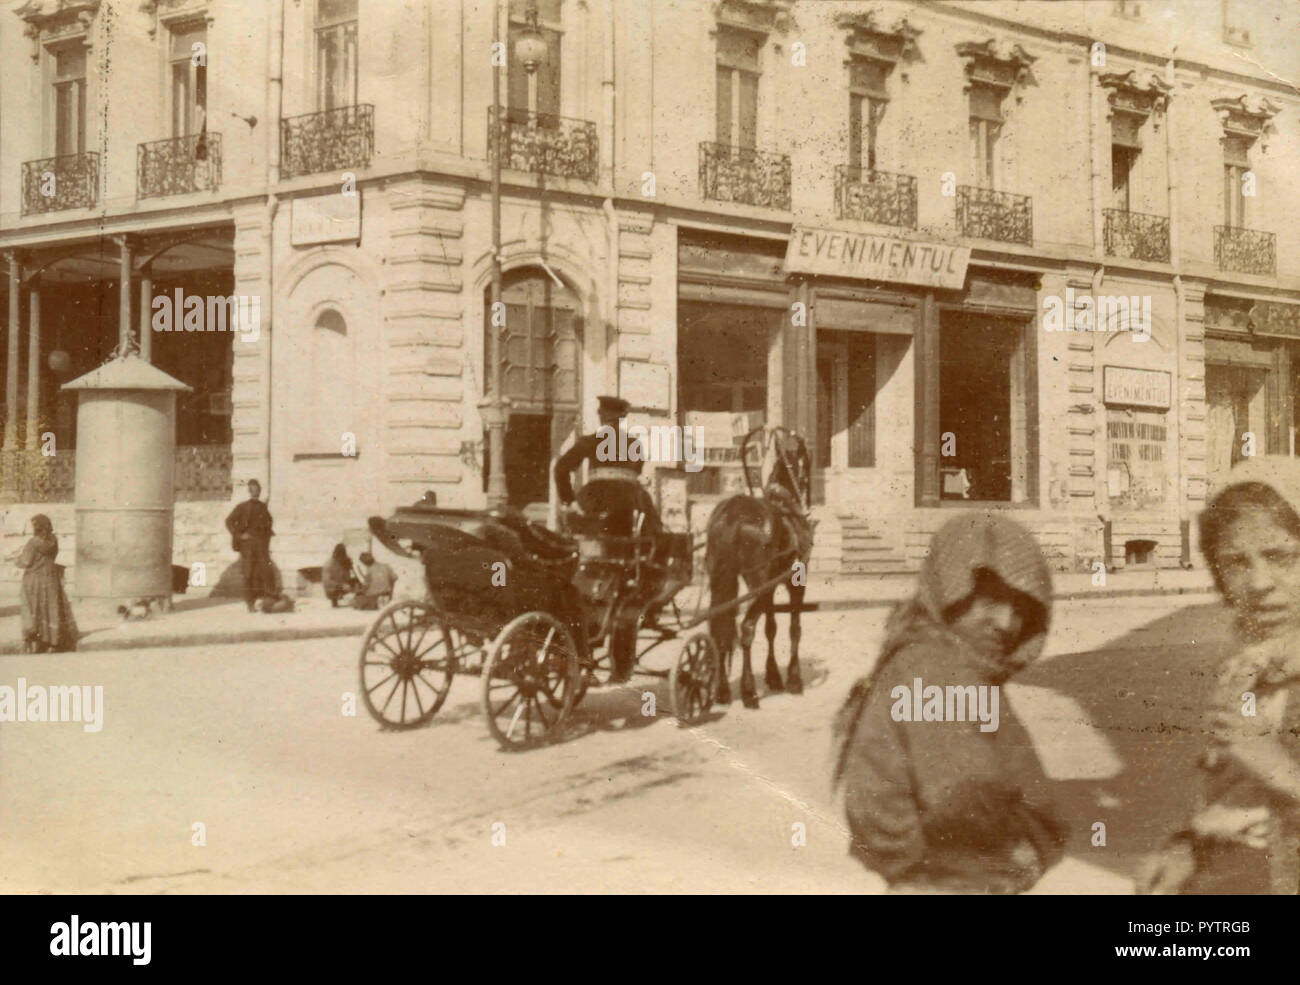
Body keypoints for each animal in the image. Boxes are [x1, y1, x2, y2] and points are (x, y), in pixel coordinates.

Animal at [702, 431, 811, 712]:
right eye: (807, 460)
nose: (807, 495)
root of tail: (732, 515)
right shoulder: (797, 583)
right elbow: (794, 629)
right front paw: (794, 679)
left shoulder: (769, 588)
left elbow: (771, 628)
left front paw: (774, 676)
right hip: (757, 584)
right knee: (746, 629)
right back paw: (748, 691)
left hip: (725, 581)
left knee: (721, 628)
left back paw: (722, 690)